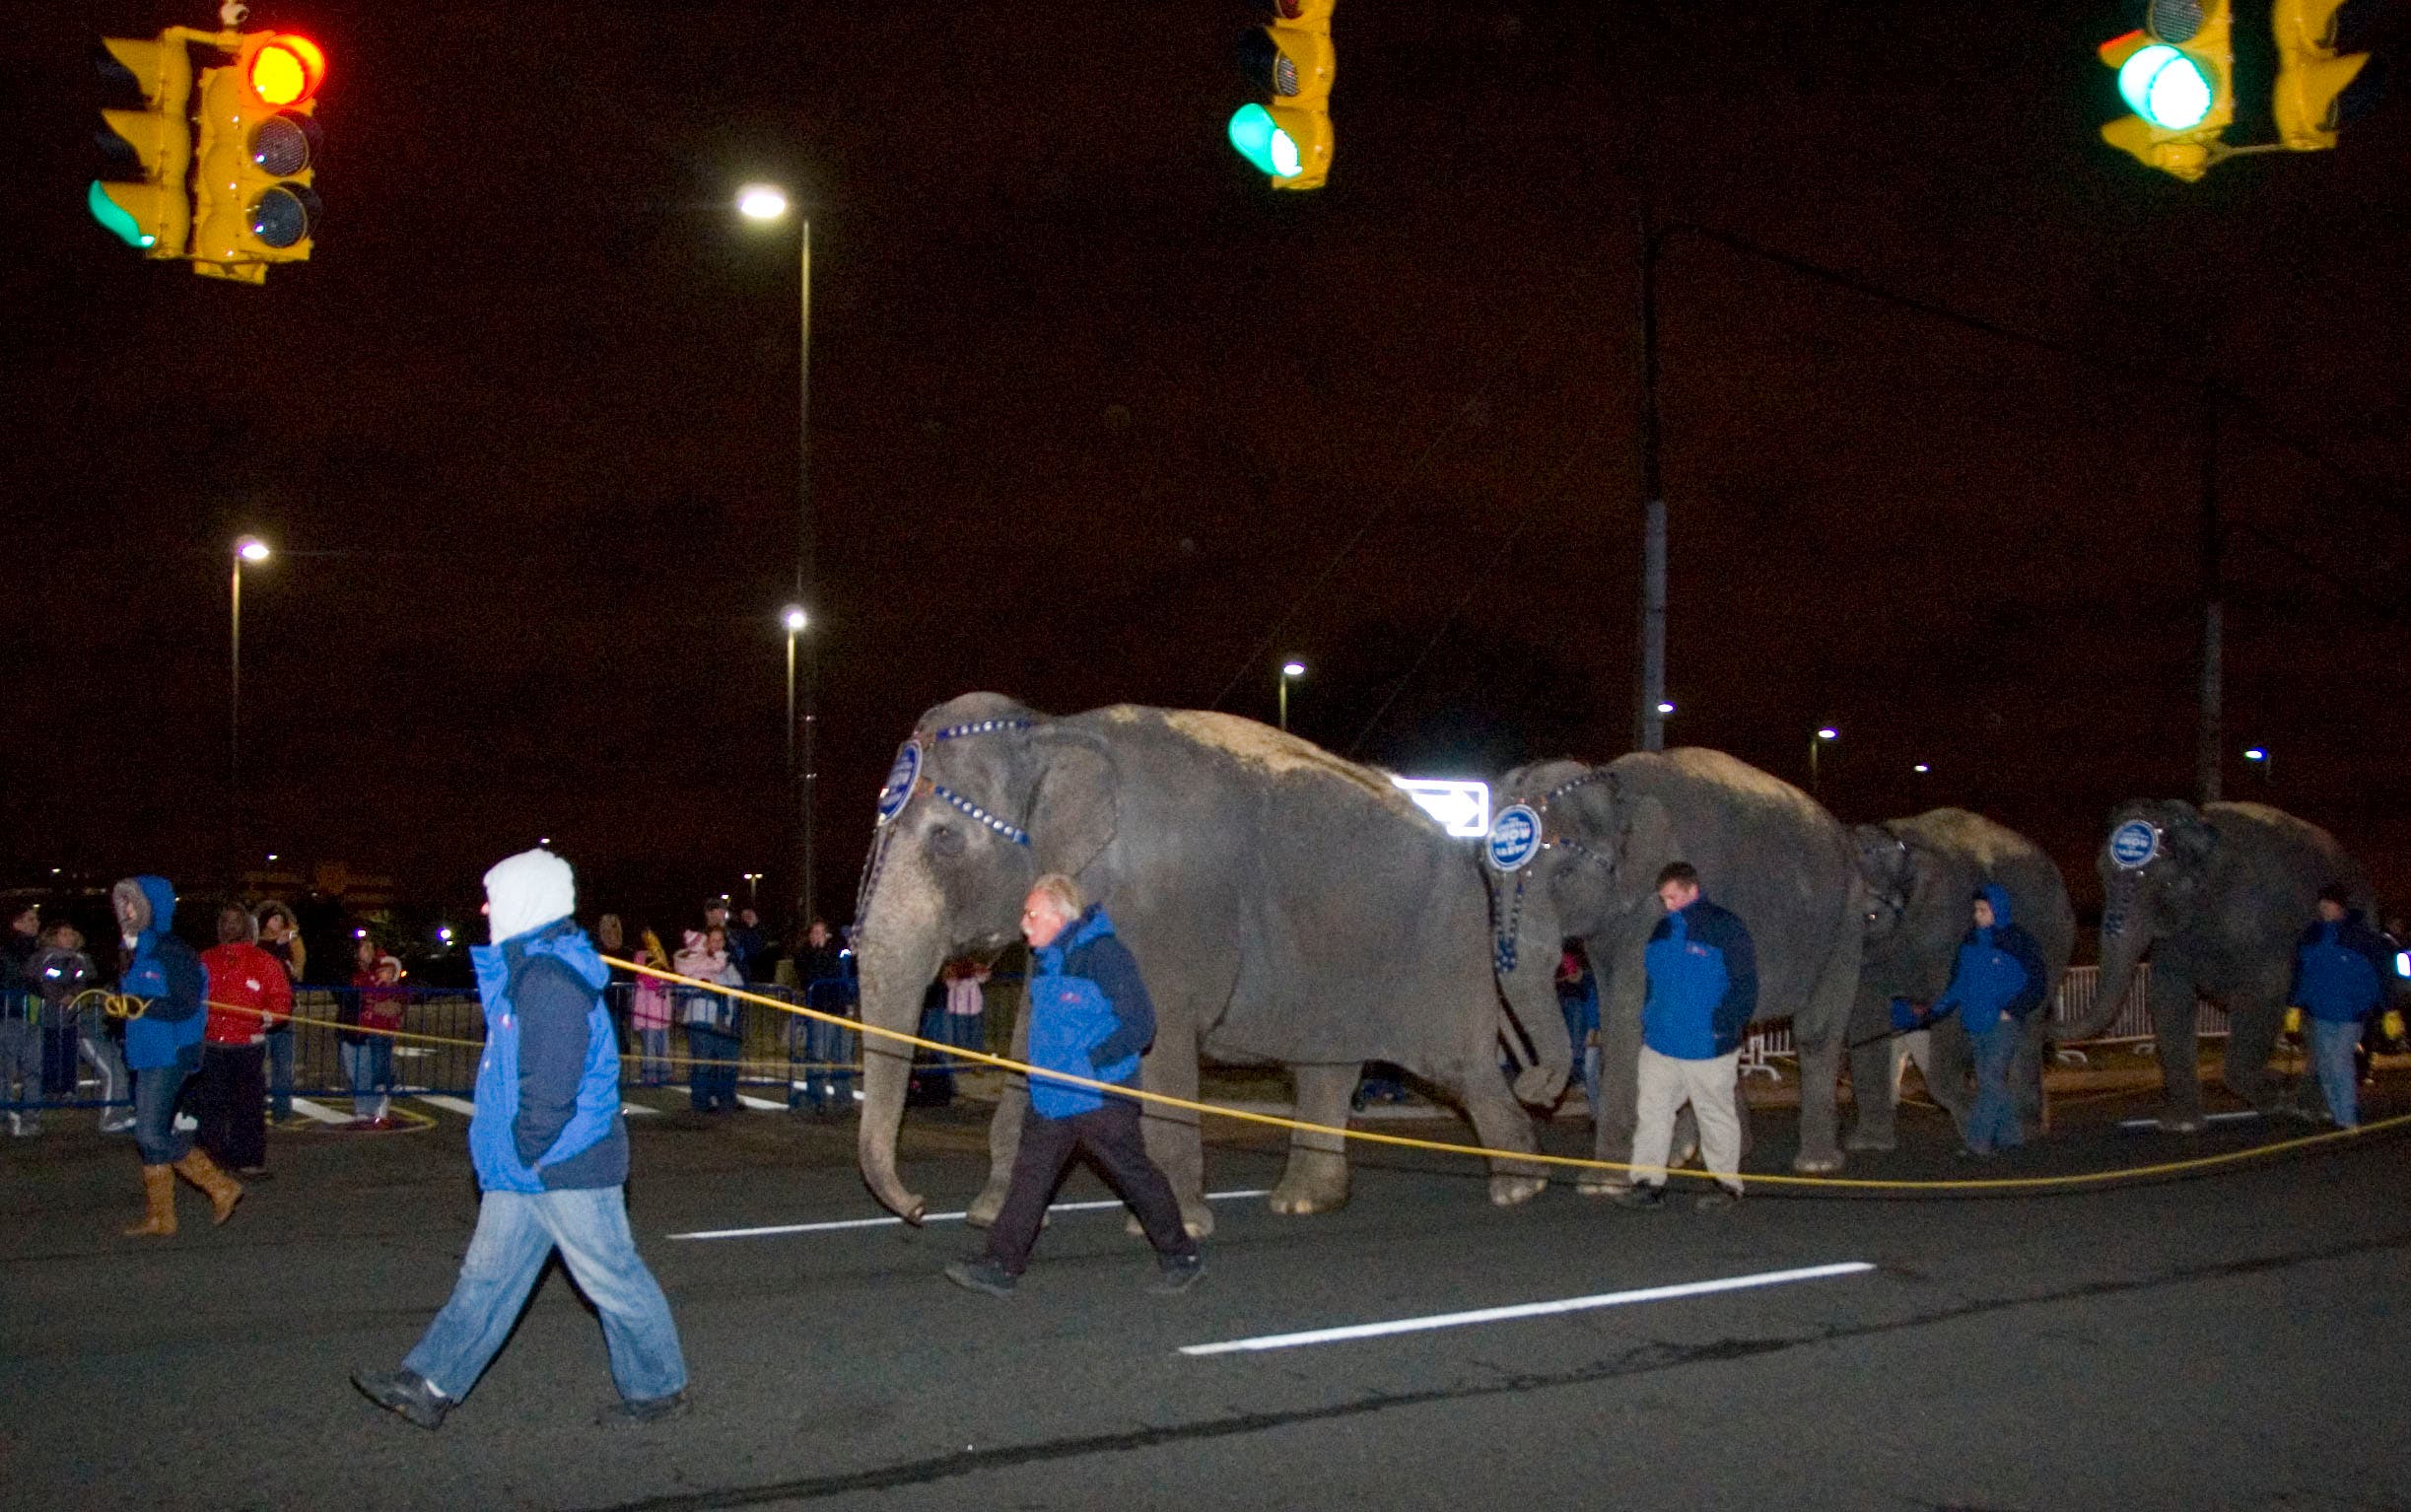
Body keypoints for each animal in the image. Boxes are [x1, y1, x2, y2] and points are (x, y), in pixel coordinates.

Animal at [848, 692, 1573, 1237]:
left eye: (946, 839)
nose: (917, 1209)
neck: (1053, 730)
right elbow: (1036, 1033)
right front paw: (991, 1215)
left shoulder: (1168, 911)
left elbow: (1160, 1032)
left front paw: (1172, 1225)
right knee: (1327, 1066)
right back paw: (1304, 1202)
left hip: (1441, 945)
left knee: (1459, 1065)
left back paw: (1519, 1190)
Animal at [1483, 748, 1866, 1188]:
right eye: (1488, 878)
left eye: (1564, 874)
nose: (1536, 1087)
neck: (1619, 790)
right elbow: (1621, 1011)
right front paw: (1662, 1157)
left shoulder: (1656, 906)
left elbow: (1631, 1015)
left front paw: (1604, 1183)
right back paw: (1713, 1152)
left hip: (1845, 922)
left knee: (1816, 1031)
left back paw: (1816, 1164)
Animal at [1848, 808, 2075, 1150]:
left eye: (1871, 916)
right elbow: (1865, 1015)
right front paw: (1869, 1146)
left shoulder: (1949, 929)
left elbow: (1955, 1004)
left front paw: (1978, 1133)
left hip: (2051, 944)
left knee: (2027, 1028)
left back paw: (2024, 1130)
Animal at [2052, 799, 2380, 1131]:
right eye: (2101, 873)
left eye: (2164, 883)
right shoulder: (2176, 939)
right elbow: (2167, 996)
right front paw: (2181, 1124)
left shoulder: (2261, 928)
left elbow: (2264, 995)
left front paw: (2275, 1095)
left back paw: (2311, 1111)